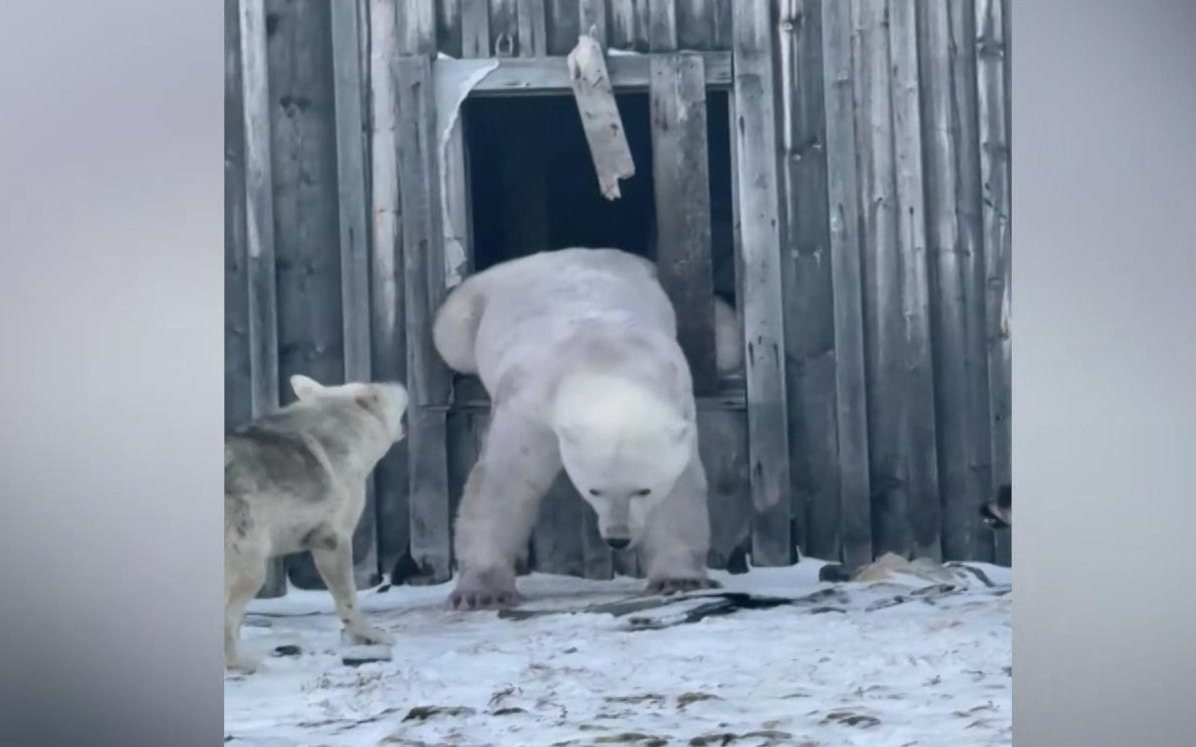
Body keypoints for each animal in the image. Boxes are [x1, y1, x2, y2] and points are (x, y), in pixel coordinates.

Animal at [432, 247, 738, 610]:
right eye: (594, 490)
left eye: (643, 490)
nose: (617, 538)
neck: (606, 360)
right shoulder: (531, 406)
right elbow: (505, 480)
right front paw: (481, 592)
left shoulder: (678, 403)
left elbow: (679, 490)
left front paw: (678, 579)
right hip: (474, 304)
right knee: (451, 334)